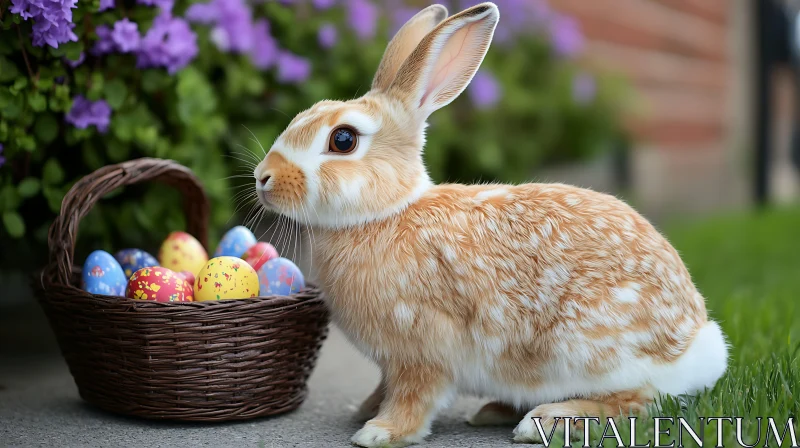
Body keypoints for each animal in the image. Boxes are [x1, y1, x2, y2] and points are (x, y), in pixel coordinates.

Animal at [253, 2, 728, 444]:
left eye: (343, 139)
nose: (263, 177)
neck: (386, 212)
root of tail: (697, 343)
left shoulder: (423, 347)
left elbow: (414, 395)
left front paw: (379, 432)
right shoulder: (392, 361)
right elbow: (384, 385)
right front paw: (364, 410)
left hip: (591, 352)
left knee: (641, 402)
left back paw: (545, 421)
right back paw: (493, 410)